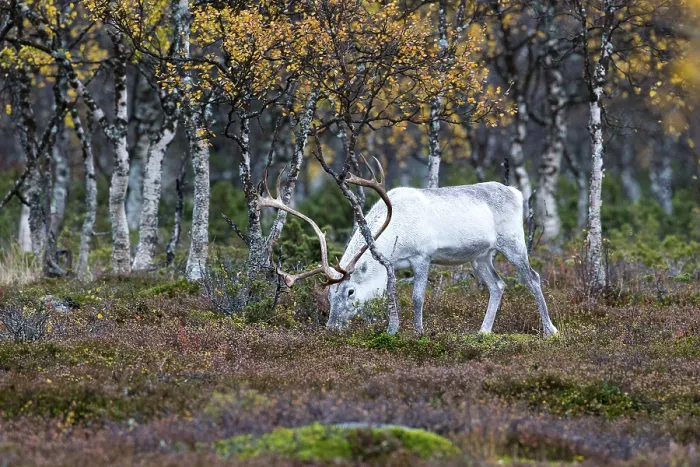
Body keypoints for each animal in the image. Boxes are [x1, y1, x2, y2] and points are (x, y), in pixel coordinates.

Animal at [257, 160, 558, 337]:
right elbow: (390, 295)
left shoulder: (422, 256)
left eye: (350, 291)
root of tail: (517, 192)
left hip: (513, 241)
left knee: (533, 278)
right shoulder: (391, 264)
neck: (395, 232)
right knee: (497, 284)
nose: (332, 327)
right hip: (480, 256)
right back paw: (483, 332)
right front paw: (392, 329)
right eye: (330, 293)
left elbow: (417, 298)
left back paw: (549, 330)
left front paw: (418, 332)